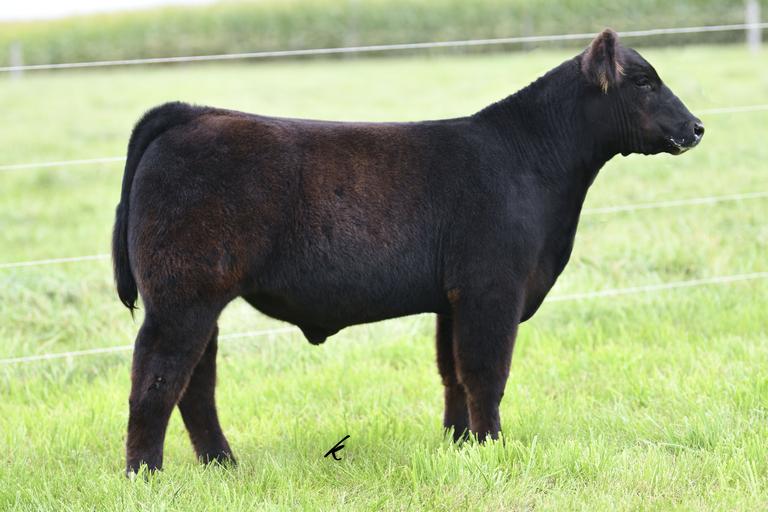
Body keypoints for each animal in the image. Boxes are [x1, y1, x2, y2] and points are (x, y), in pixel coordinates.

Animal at [113, 29, 704, 474]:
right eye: (645, 81)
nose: (696, 127)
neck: (531, 162)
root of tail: (194, 113)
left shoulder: (453, 298)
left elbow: (453, 374)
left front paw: (460, 444)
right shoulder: (492, 289)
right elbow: (486, 372)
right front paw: (493, 447)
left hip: (200, 300)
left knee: (195, 383)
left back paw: (221, 464)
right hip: (182, 298)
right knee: (157, 379)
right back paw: (146, 473)